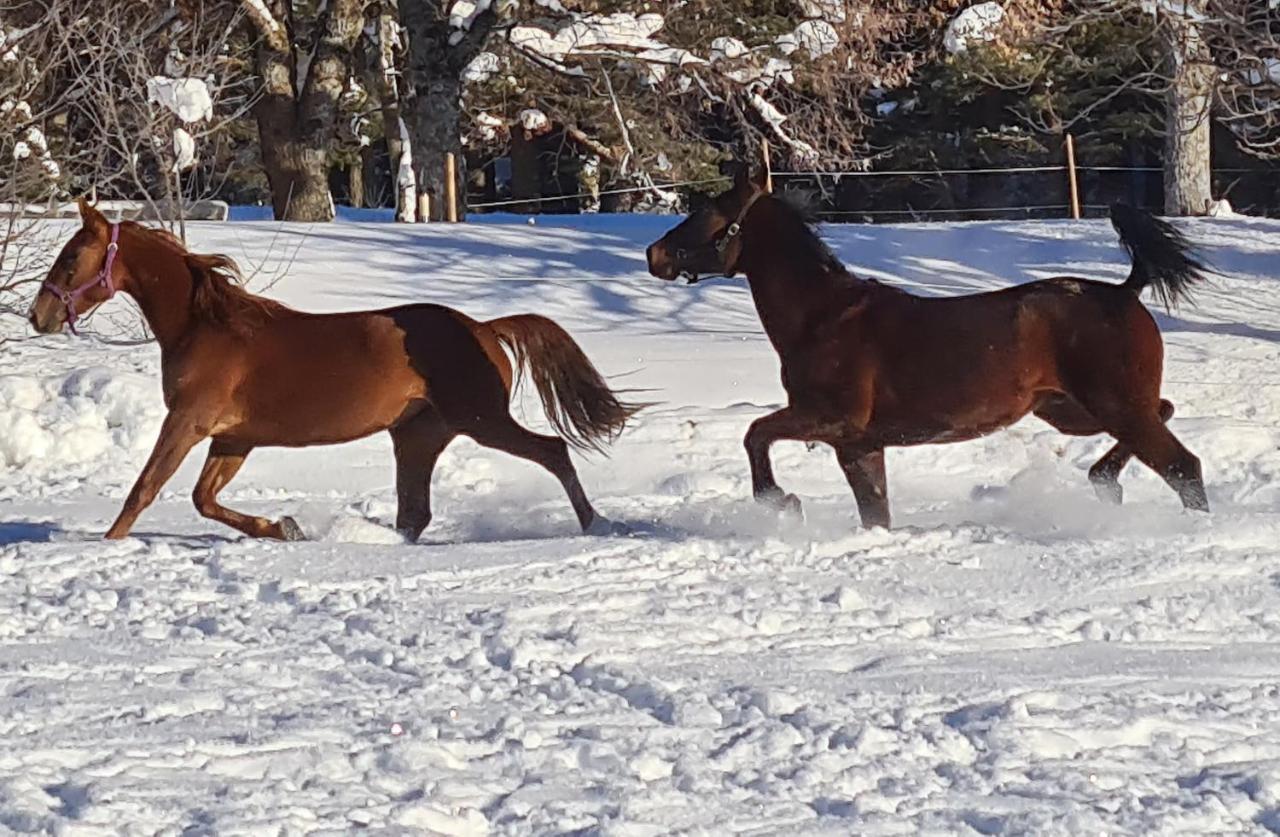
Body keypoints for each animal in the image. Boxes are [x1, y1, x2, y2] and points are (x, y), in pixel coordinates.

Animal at [32, 204, 640, 545]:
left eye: (71, 258)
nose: (38, 315)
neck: (205, 326)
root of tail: (484, 329)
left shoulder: (189, 421)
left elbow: (145, 489)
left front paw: (106, 544)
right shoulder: (232, 438)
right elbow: (204, 499)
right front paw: (283, 528)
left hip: (480, 418)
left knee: (553, 451)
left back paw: (595, 524)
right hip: (418, 434)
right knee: (414, 512)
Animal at [650, 167, 1208, 527]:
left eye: (705, 214)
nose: (655, 254)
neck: (822, 318)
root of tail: (1124, 291)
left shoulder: (831, 420)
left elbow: (755, 435)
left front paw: (781, 502)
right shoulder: (859, 446)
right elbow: (875, 511)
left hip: (1112, 406)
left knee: (1183, 466)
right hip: (1072, 410)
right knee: (1164, 412)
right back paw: (1104, 480)